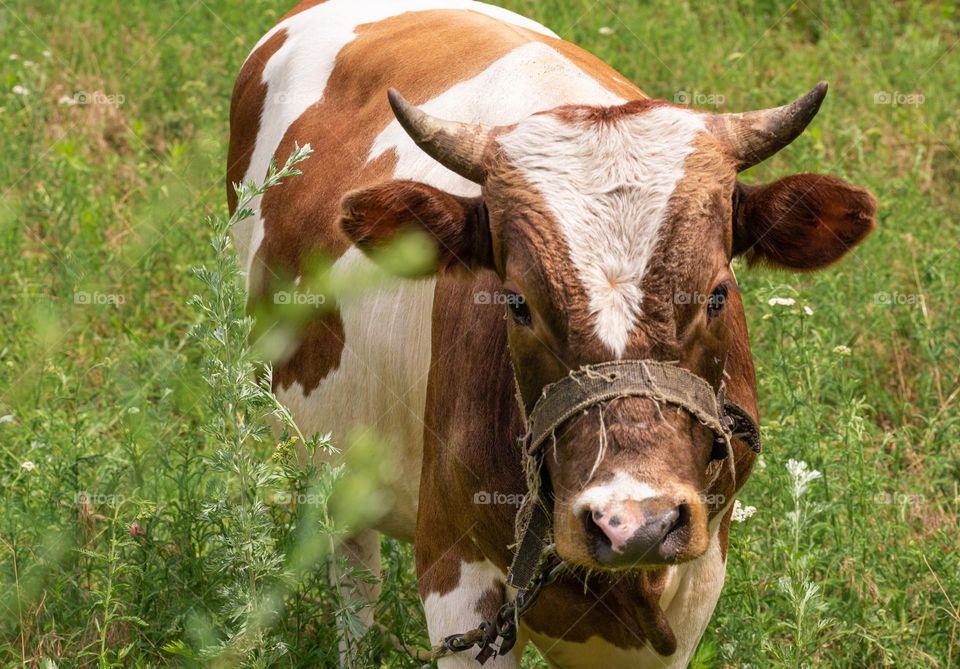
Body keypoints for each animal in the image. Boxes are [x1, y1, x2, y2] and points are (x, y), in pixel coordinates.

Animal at [227, 2, 876, 664]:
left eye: (717, 294)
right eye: (517, 302)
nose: (634, 524)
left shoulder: (701, 575)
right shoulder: (455, 572)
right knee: (355, 580)